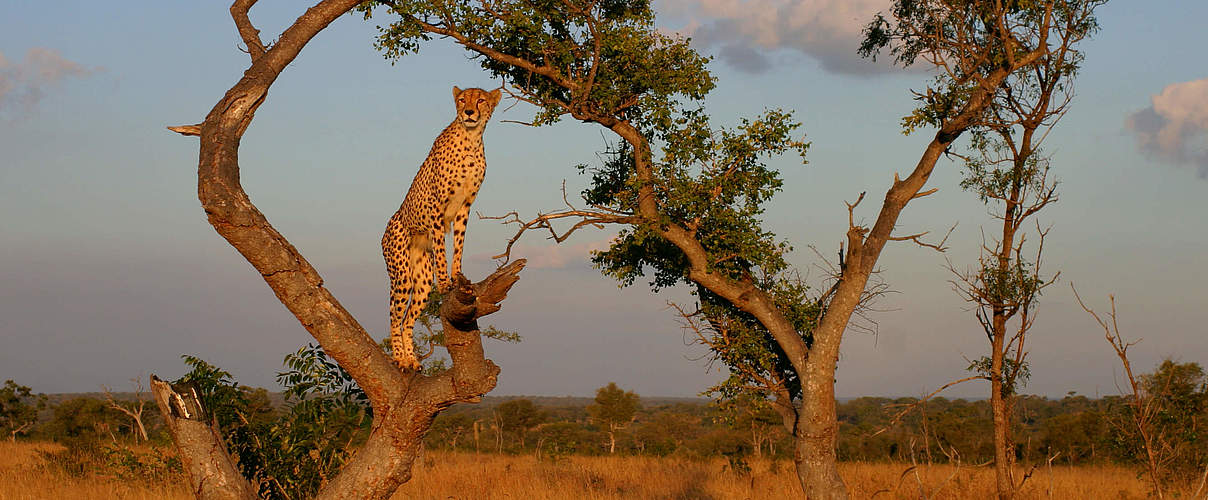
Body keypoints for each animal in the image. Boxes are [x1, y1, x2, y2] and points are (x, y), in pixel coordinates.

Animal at [384, 83, 502, 369]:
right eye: (462, 100)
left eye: (481, 100)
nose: (468, 112)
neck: (471, 139)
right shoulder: (436, 208)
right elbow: (441, 247)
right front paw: (447, 282)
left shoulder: (464, 206)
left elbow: (458, 243)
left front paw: (457, 275)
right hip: (401, 275)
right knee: (394, 316)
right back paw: (400, 359)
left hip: (422, 281)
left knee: (407, 319)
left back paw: (412, 360)